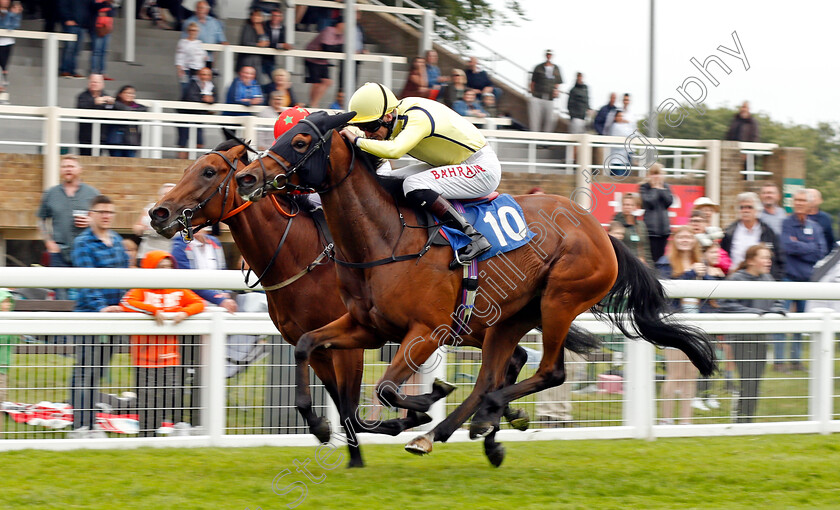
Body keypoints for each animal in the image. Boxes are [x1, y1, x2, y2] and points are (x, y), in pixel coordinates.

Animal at [235, 112, 716, 466]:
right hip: (512, 316)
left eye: (300, 141)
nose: (246, 178)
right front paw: (319, 424)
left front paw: (421, 404)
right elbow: (307, 346)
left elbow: (386, 390)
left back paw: (484, 417)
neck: (384, 238)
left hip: (560, 300)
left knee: (546, 373)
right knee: (493, 373)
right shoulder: (364, 326)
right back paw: (448, 431)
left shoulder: (425, 331)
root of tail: (599, 229)